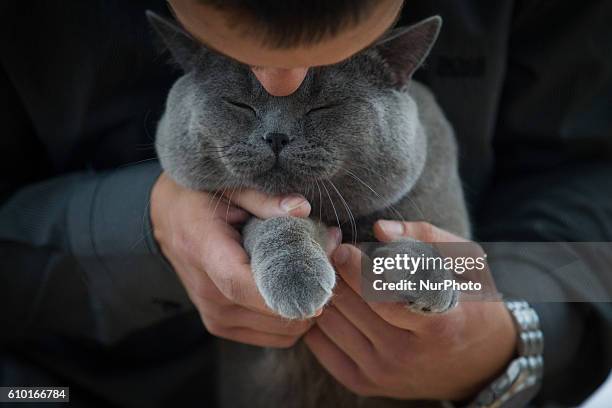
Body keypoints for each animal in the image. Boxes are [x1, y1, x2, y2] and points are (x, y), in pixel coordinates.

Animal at [148, 11, 468, 408]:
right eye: (239, 104)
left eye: (323, 106)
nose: (276, 136)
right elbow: (278, 223)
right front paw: (298, 280)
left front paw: (430, 276)